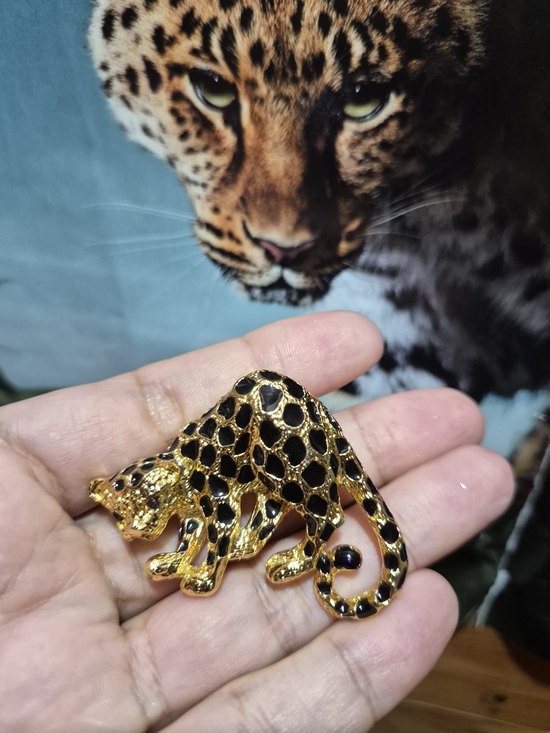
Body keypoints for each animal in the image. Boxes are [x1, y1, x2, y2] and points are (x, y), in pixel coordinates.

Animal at [89, 370, 408, 620]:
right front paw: (172, 562)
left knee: (328, 516)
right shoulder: (193, 513)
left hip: (286, 467)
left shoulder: (221, 504)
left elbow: (215, 543)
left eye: (151, 501)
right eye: (119, 513)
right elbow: (189, 537)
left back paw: (291, 562)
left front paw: (203, 579)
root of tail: (319, 409)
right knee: (270, 513)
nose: (134, 530)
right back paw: (244, 546)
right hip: (269, 477)